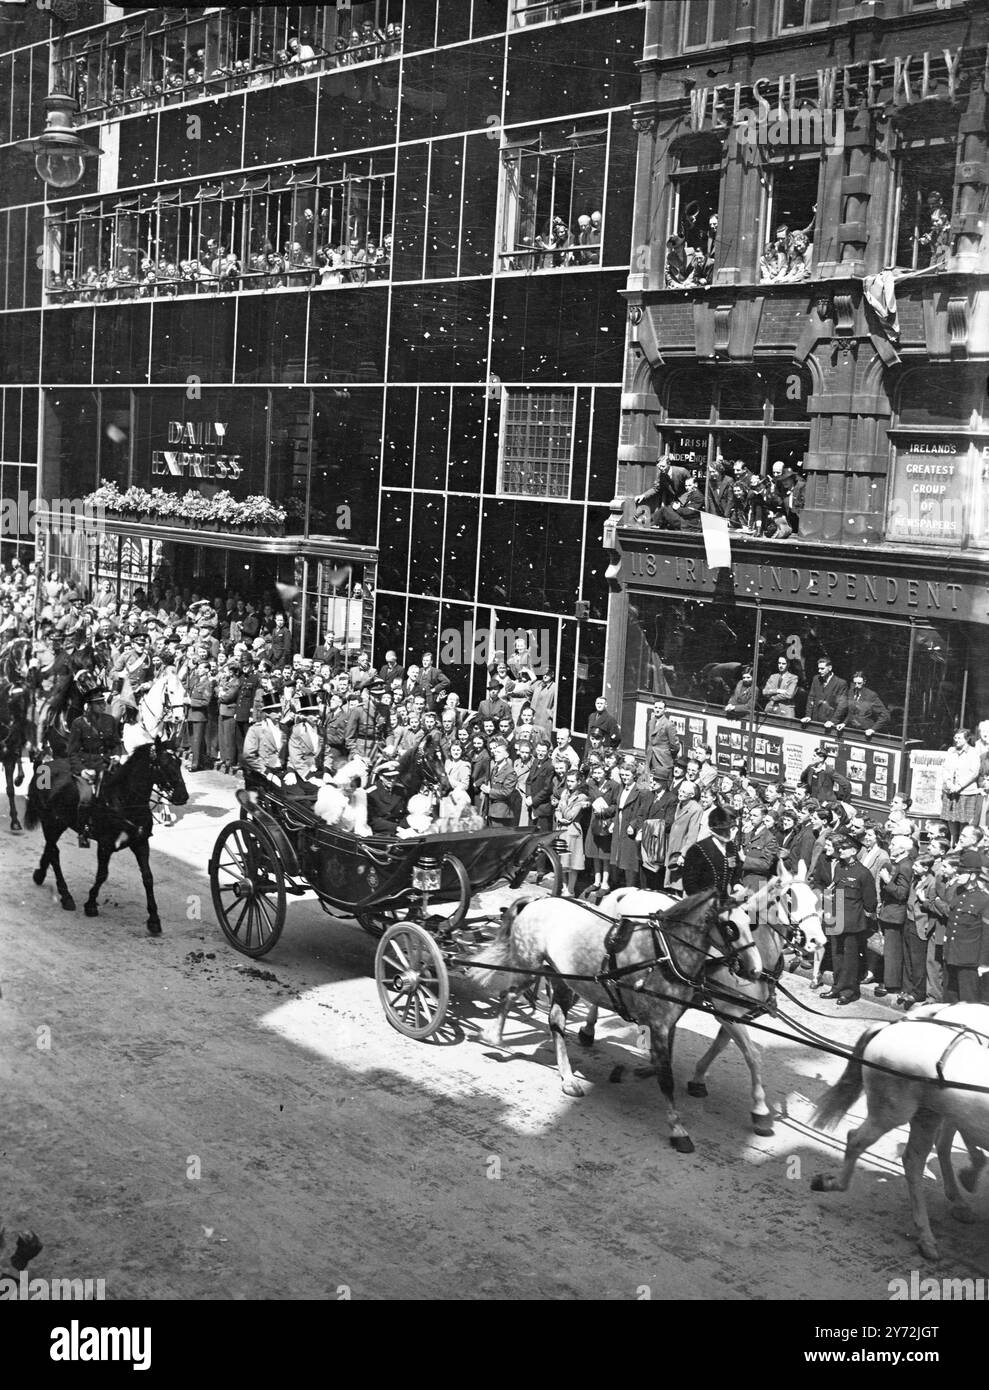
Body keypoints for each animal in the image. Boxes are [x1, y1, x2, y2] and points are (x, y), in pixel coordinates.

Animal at [575, 884, 822, 1134]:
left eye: (817, 899)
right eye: (790, 900)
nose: (817, 941)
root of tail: (628, 890)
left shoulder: (732, 1016)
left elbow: (720, 1046)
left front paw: (698, 1077)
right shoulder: (728, 1013)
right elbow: (752, 1055)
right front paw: (760, 1109)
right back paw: (588, 1030)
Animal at [811, 1006, 989, 1267]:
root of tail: (889, 1026)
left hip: (930, 1113)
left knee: (917, 1158)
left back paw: (930, 1232)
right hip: (893, 1111)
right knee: (856, 1140)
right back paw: (833, 1183)